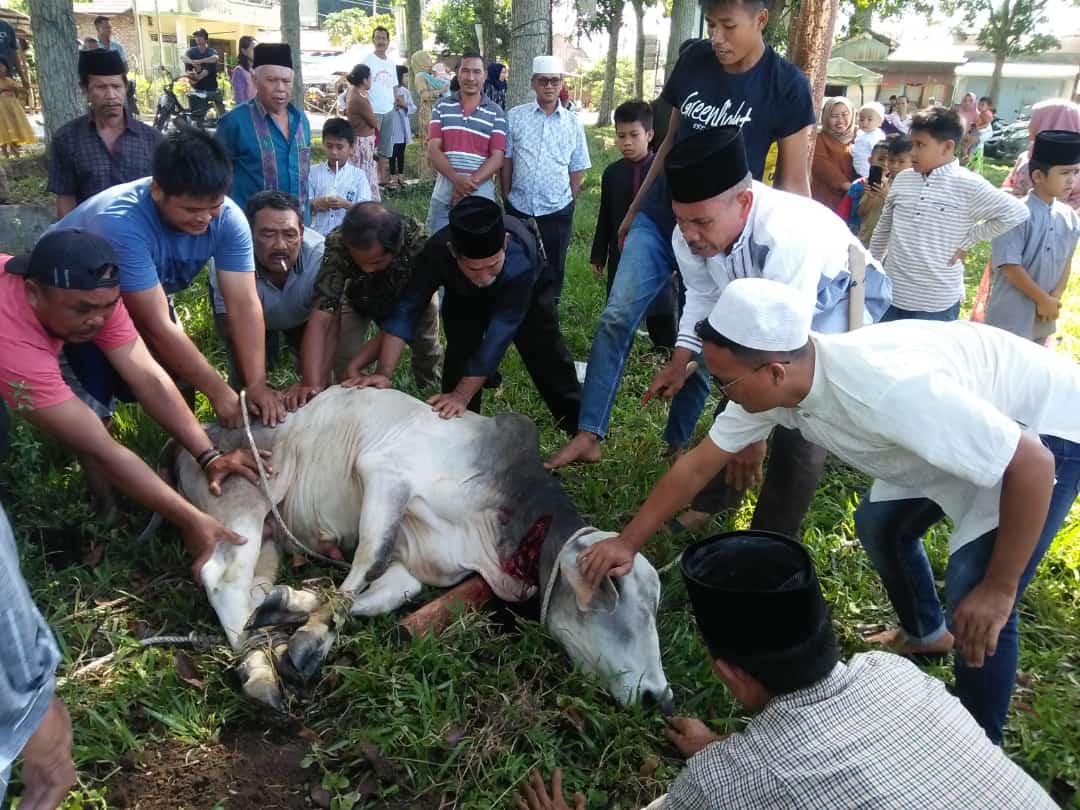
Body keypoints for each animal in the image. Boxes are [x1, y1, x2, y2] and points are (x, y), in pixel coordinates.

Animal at [172, 390, 669, 712]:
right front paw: (310, 642)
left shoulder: (420, 561)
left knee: (252, 588)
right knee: (222, 577)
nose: (660, 699)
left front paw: (293, 609)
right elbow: (368, 560)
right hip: (245, 504)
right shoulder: (385, 474)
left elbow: (386, 595)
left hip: (271, 536)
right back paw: (257, 671)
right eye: (619, 597)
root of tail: (198, 429)